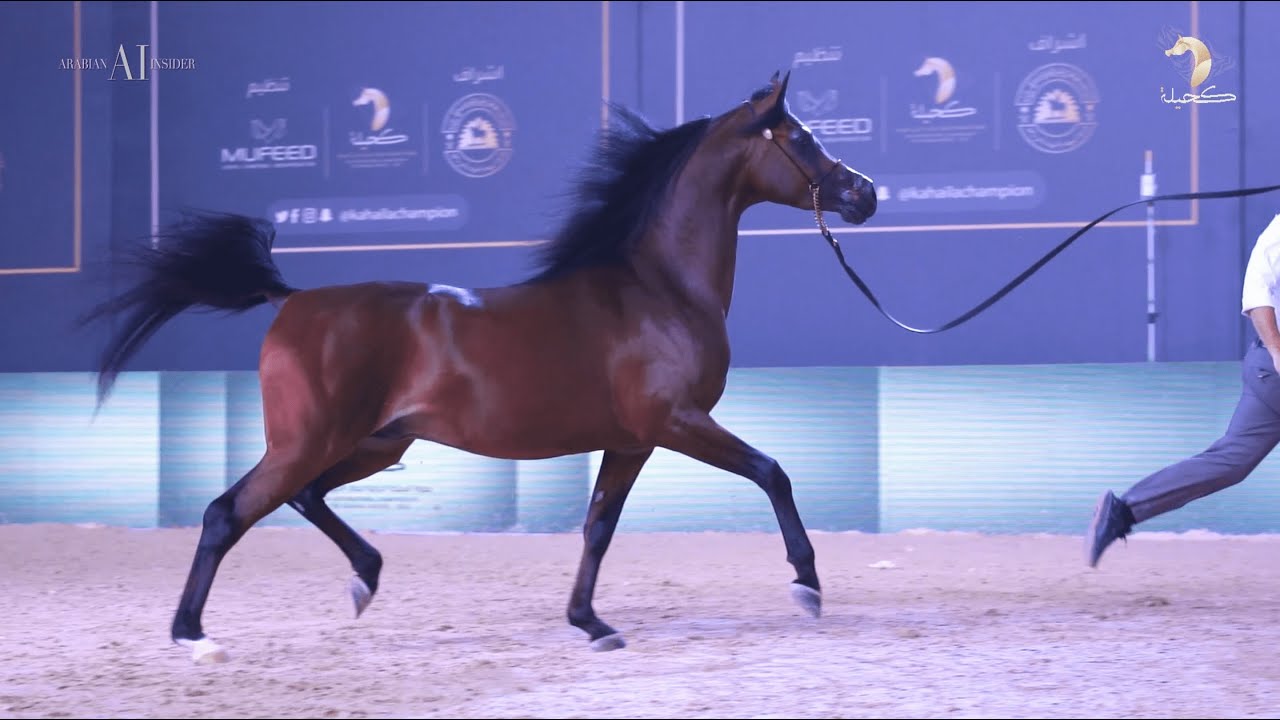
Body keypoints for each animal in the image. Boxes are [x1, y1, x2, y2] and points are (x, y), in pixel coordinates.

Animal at [82, 70, 877, 664]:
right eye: (800, 137)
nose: (864, 193)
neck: (658, 288)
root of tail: (293, 299)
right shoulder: (676, 423)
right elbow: (773, 472)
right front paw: (807, 585)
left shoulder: (631, 442)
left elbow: (597, 528)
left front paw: (592, 624)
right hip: (309, 440)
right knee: (228, 513)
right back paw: (195, 637)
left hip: (378, 442)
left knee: (305, 497)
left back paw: (364, 579)